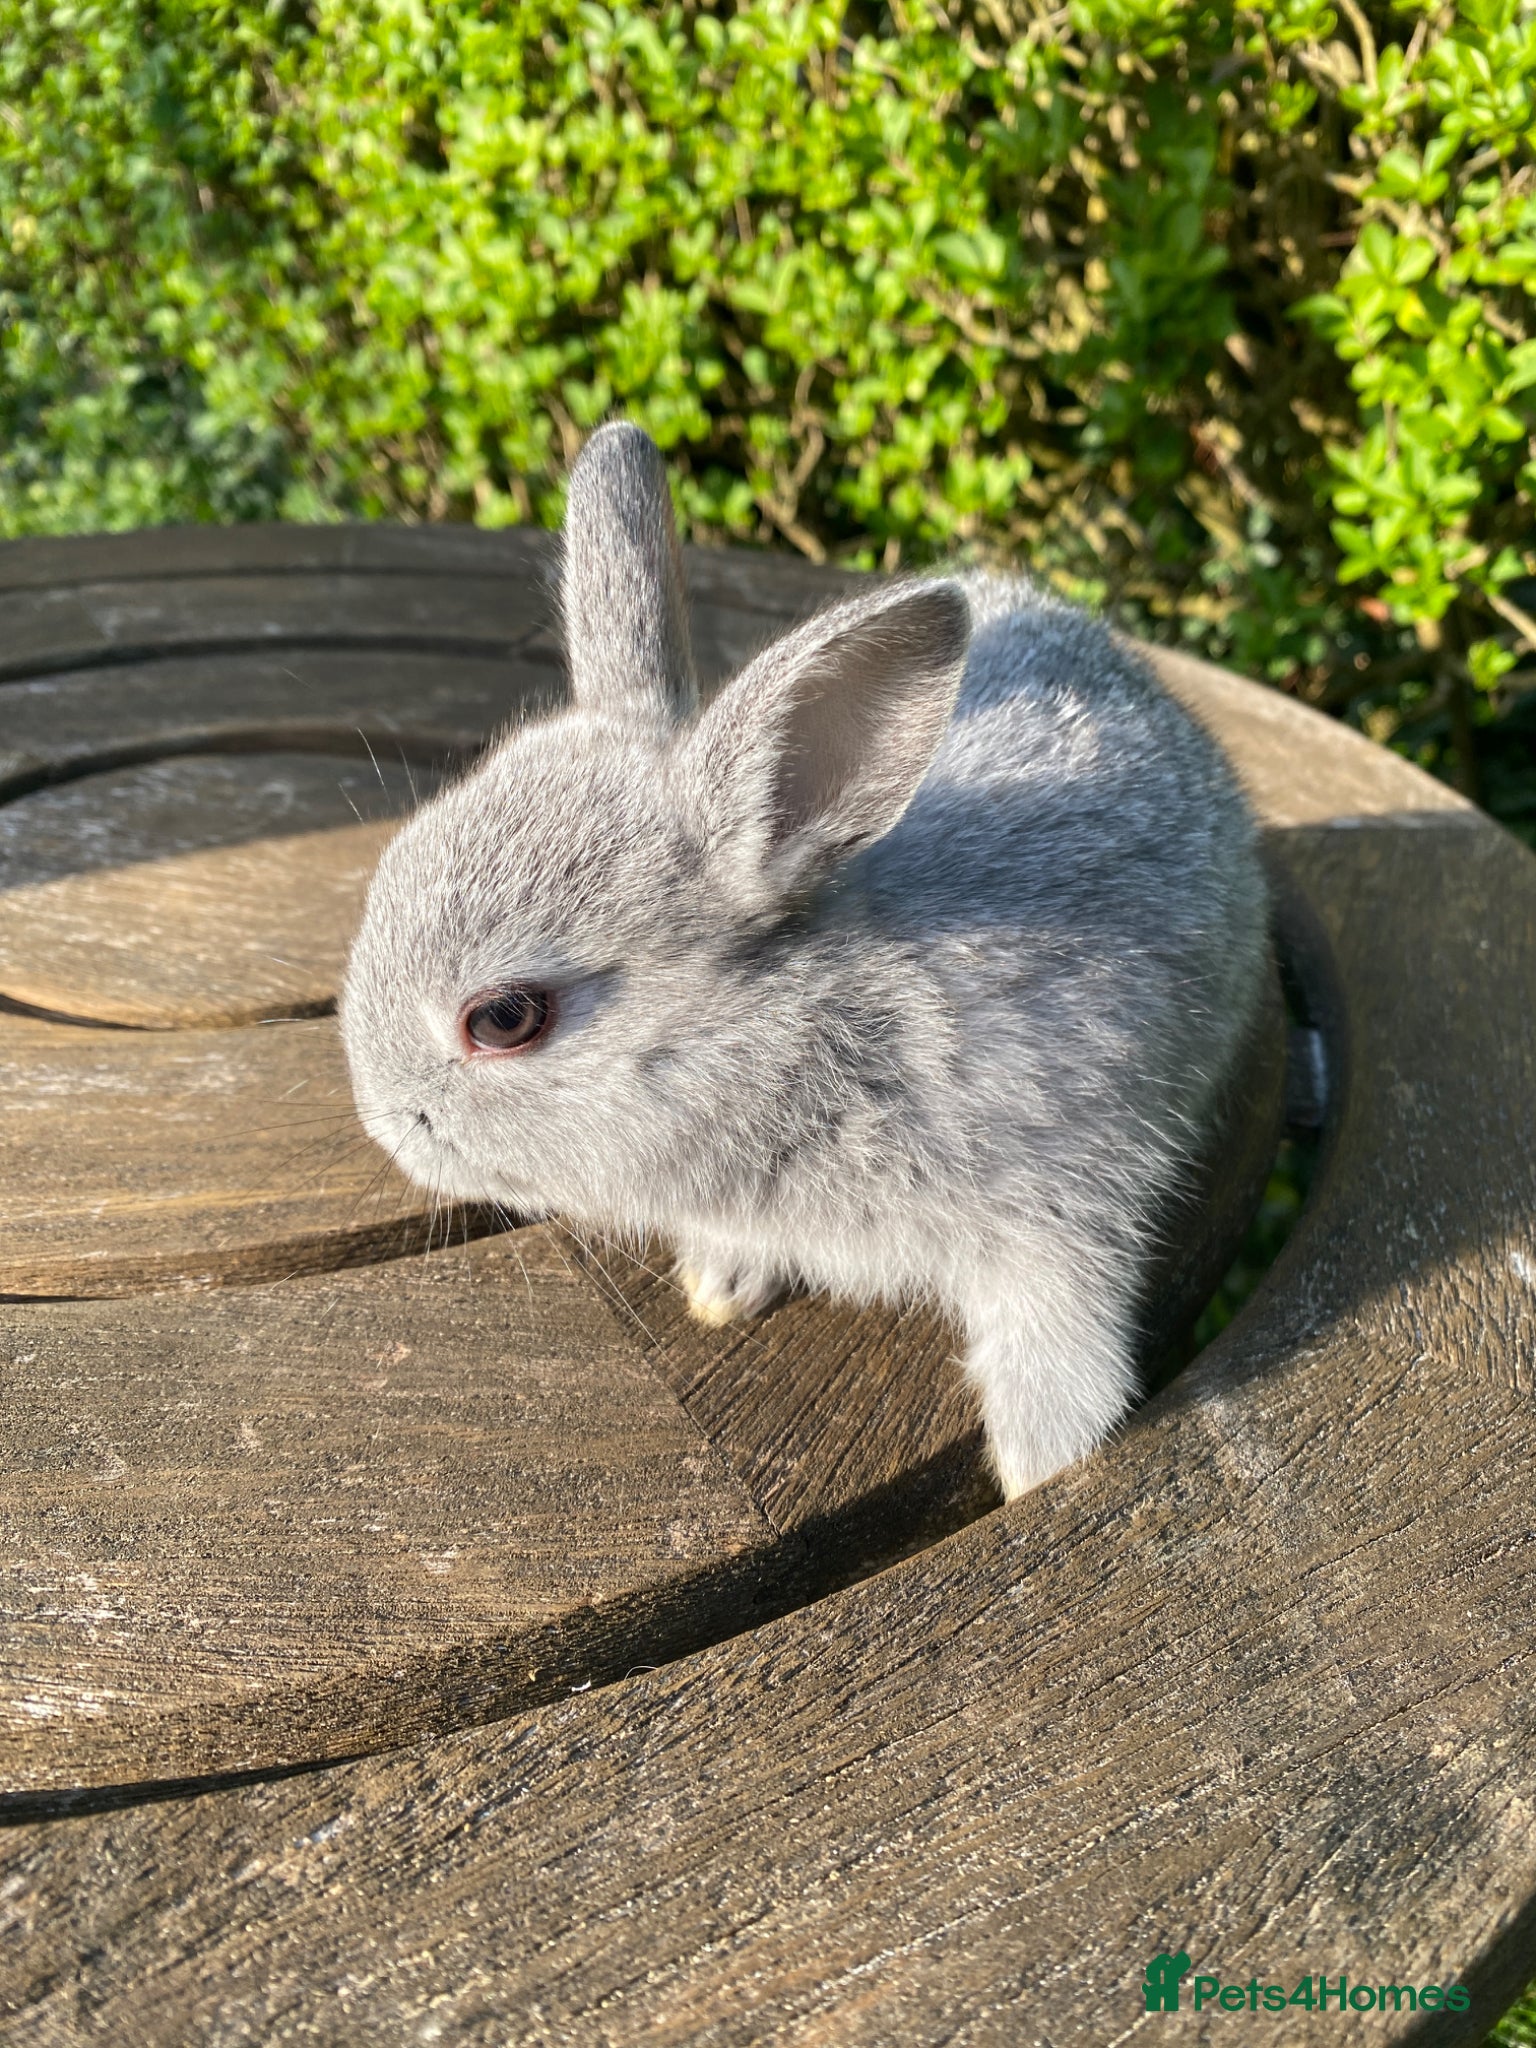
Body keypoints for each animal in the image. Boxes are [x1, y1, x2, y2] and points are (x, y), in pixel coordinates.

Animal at [341, 422, 1269, 1500]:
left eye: (503, 1018)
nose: (381, 1120)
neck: (806, 1043)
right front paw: (721, 1286)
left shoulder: (1059, 1216)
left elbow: (1055, 1360)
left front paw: (1043, 1475)